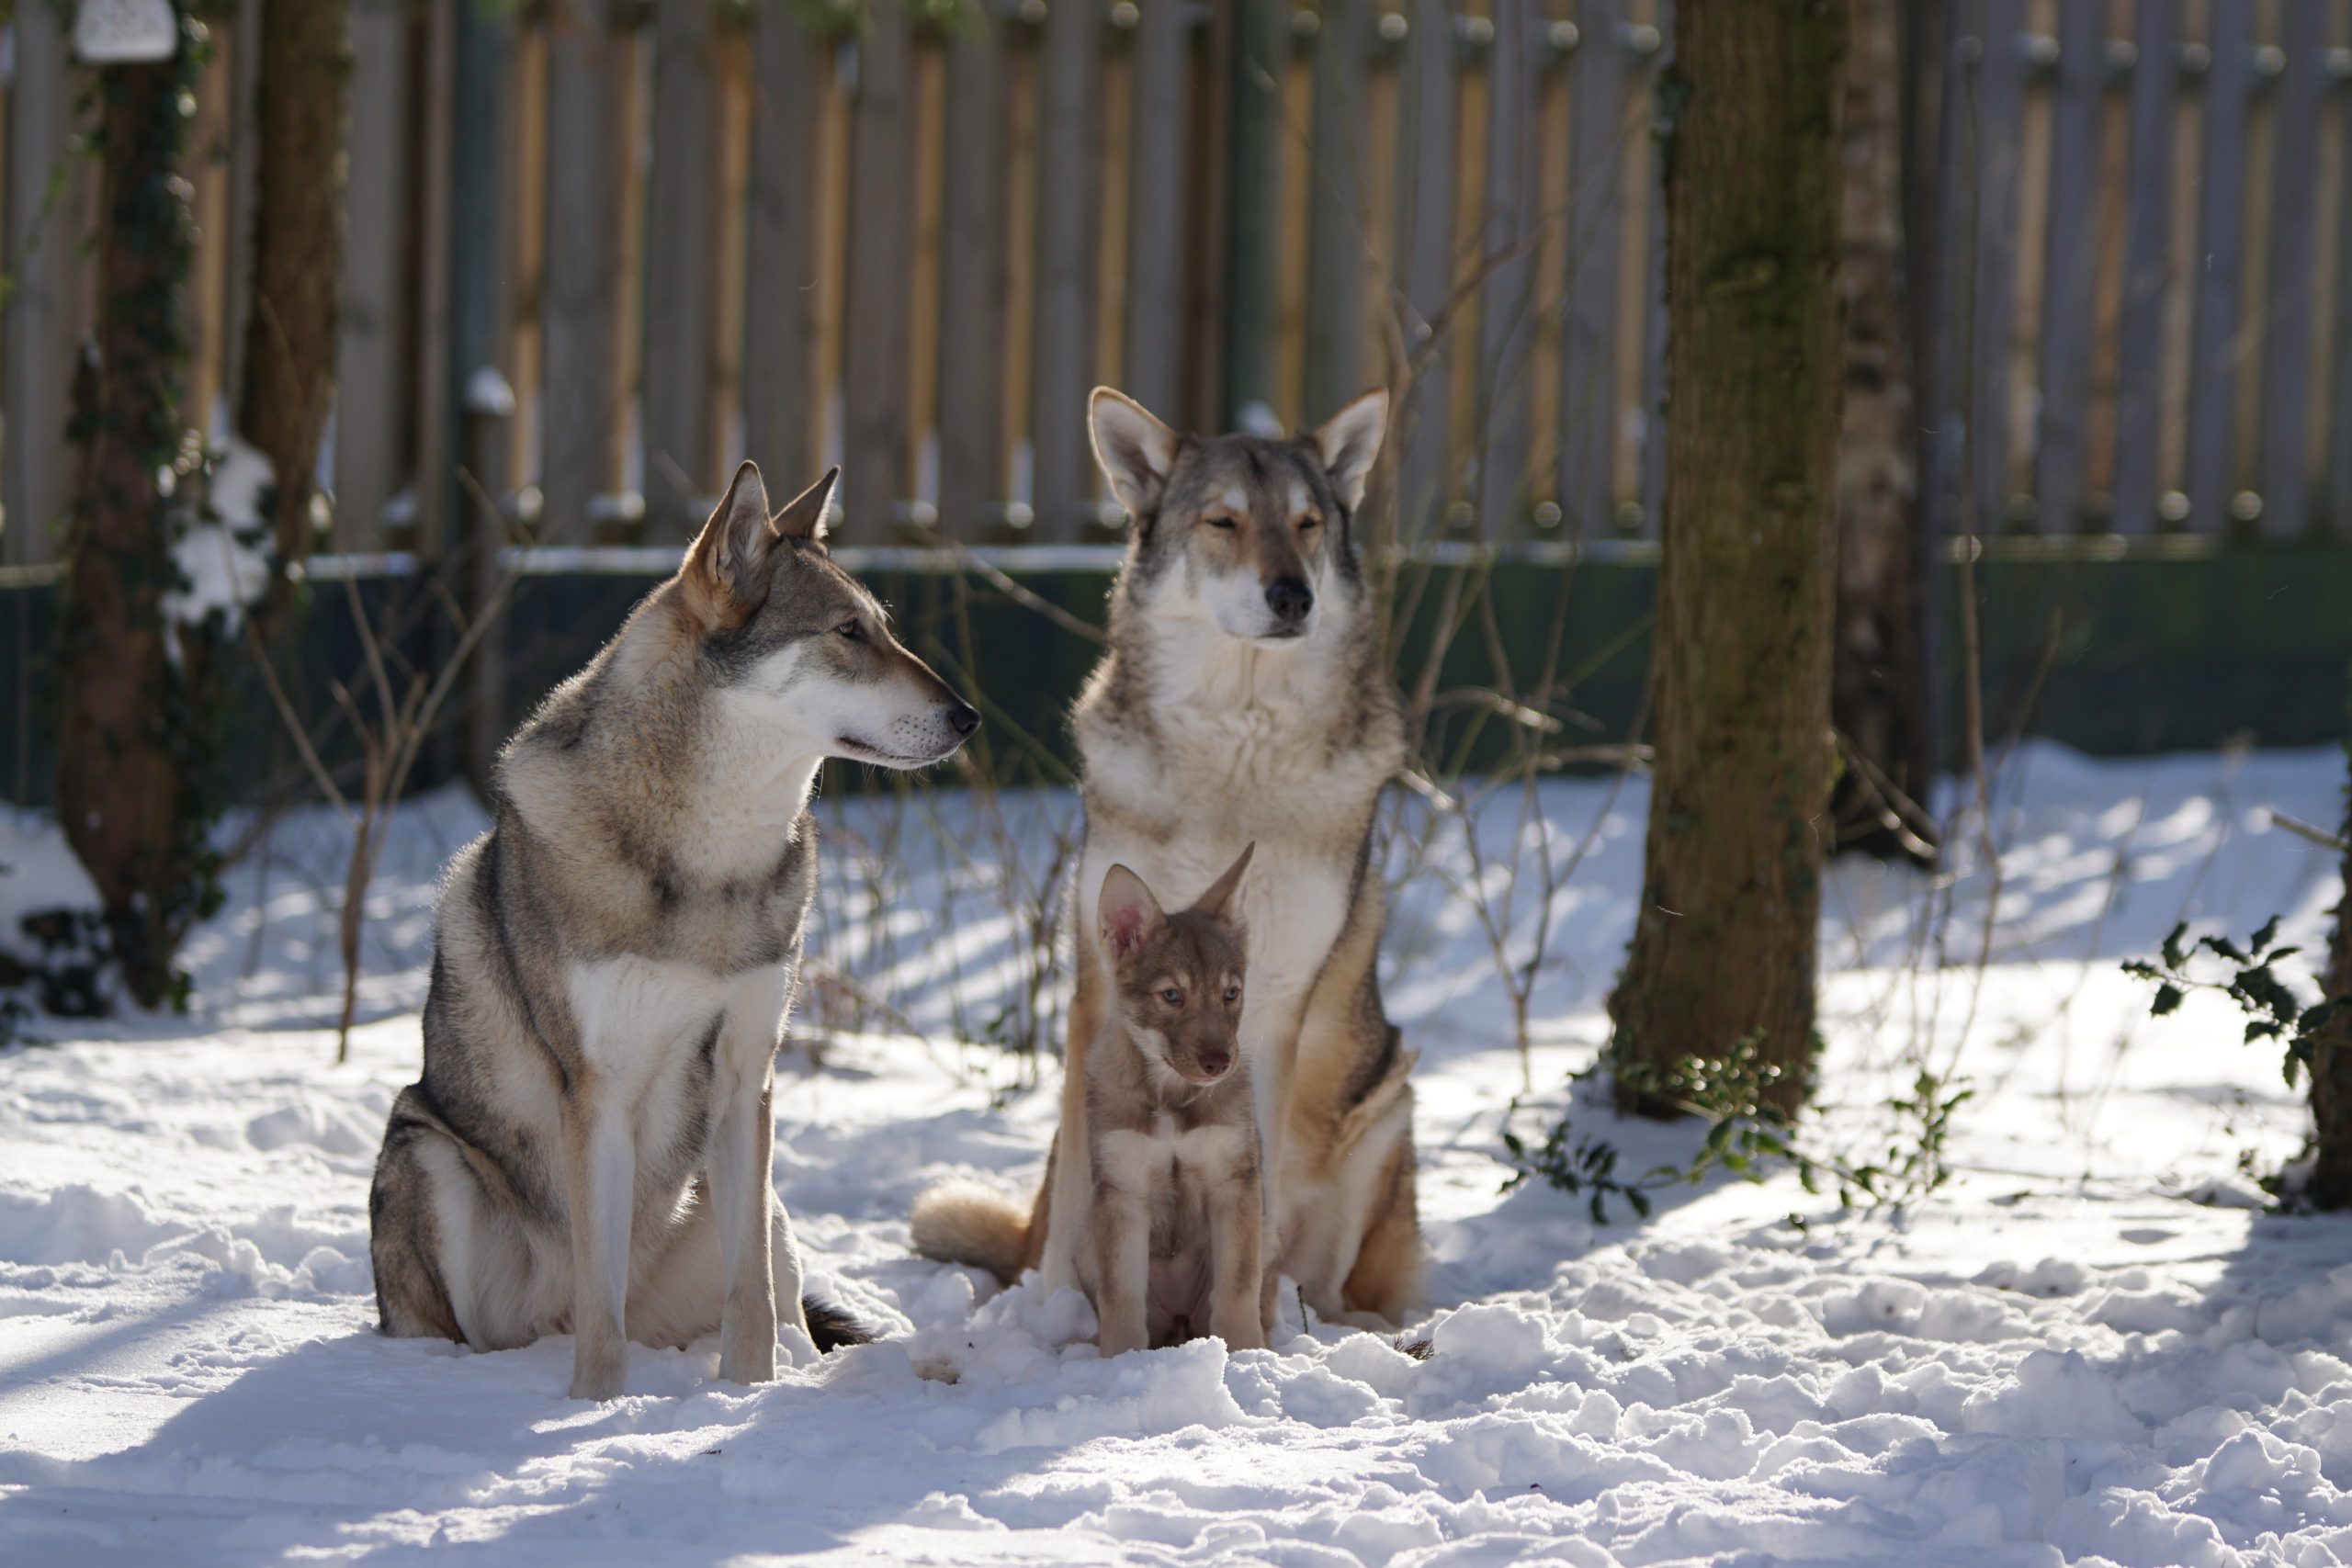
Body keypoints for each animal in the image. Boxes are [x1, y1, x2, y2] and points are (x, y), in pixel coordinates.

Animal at [368, 463, 973, 1401]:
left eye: (885, 631)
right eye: (848, 633)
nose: (969, 716)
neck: (712, 856)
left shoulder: (749, 1074)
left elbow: (749, 1296)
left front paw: (748, 1395)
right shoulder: (600, 1091)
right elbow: (601, 1307)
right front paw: (600, 1409)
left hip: (768, 1202)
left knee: (792, 1316)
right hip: (426, 1156)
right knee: (507, 1325)